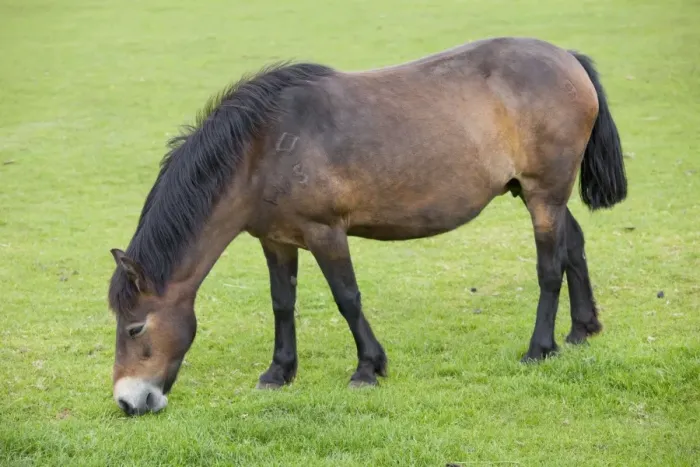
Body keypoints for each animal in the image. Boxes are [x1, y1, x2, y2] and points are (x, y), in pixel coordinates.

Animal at [107, 36, 627, 415]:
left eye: (135, 328)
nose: (129, 402)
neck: (263, 149)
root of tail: (568, 58)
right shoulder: (276, 240)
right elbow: (282, 304)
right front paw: (279, 372)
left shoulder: (326, 233)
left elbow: (347, 299)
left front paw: (368, 368)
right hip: (536, 192)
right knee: (573, 245)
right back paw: (581, 330)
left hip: (544, 193)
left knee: (549, 267)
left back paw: (540, 347)